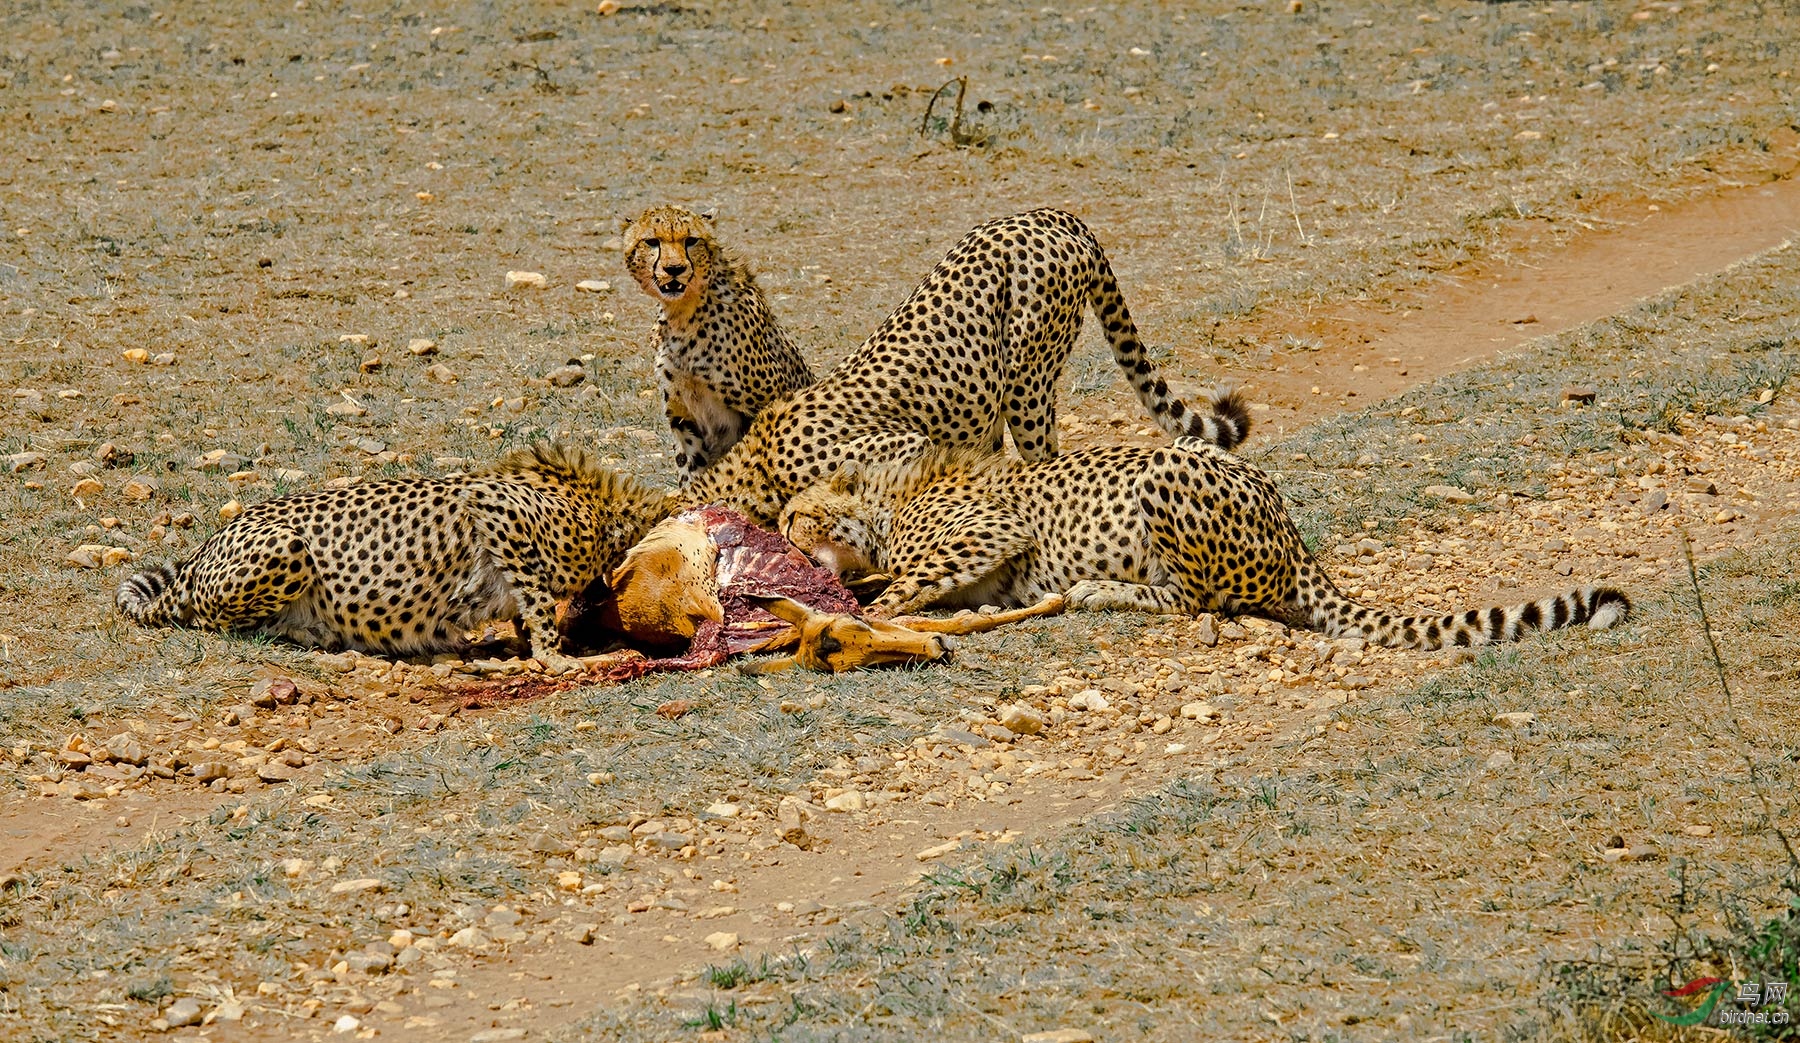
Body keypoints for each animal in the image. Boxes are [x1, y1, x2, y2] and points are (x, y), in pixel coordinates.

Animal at [114, 441, 676, 670]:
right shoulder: (493, 509)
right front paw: (559, 657)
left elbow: (524, 607)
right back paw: (317, 634)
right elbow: (537, 604)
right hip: (285, 545)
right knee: (220, 622)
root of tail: (201, 551)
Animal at [622, 205, 813, 482]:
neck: (683, 314)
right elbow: (690, 470)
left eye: (691, 240)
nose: (674, 269)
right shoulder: (684, 416)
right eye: (652, 242)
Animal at [781, 405, 1641, 644]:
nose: (785, 538)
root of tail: (1293, 534)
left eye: (791, 516)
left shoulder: (988, 532)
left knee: (1196, 599)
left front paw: (832, 621)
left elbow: (897, 591)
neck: (889, 492)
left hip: (1165, 476)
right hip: (1192, 445)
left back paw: (1099, 590)